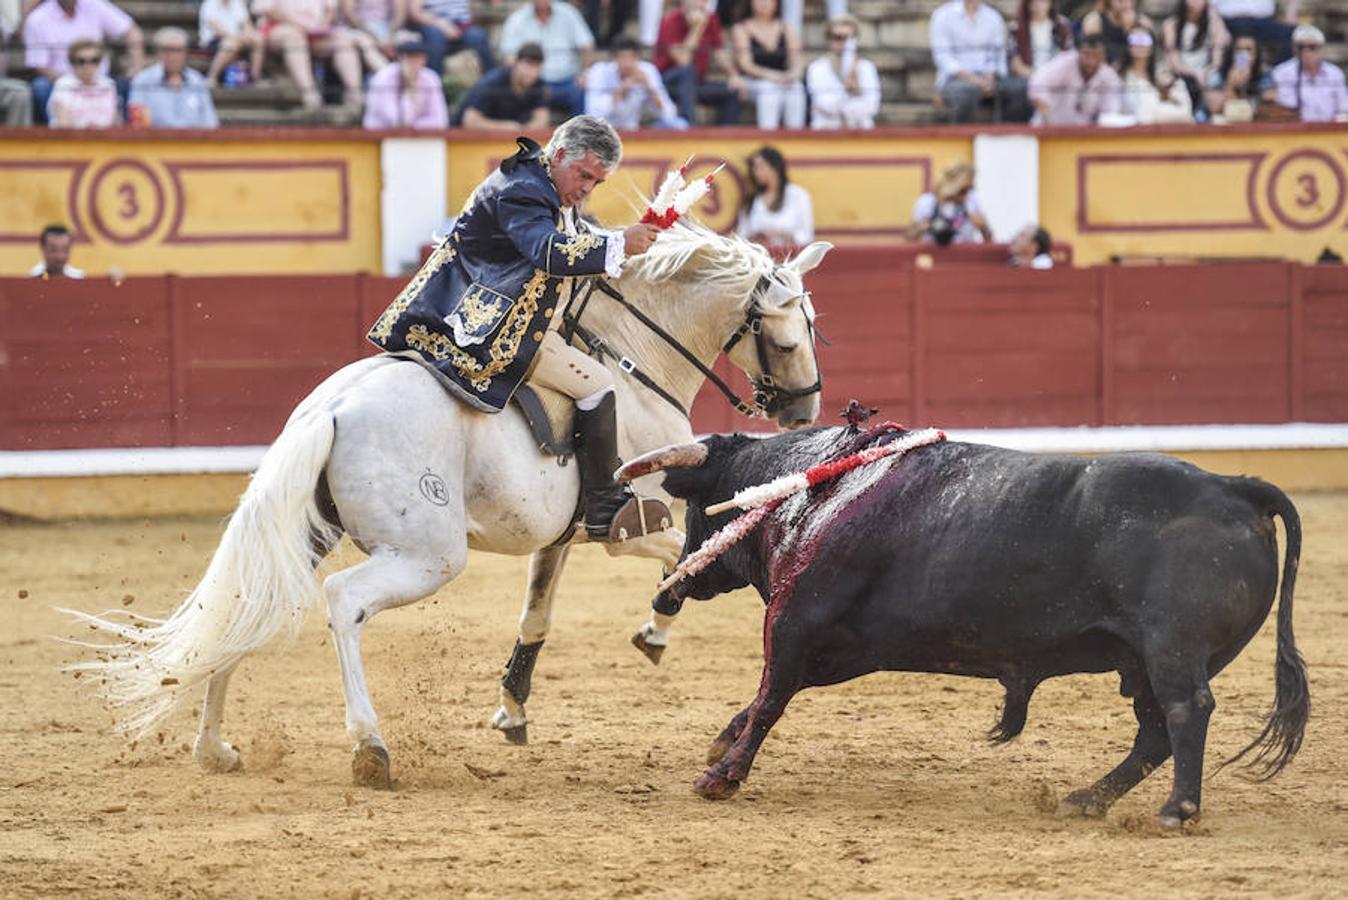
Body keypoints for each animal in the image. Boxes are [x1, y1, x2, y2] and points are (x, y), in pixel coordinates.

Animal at [63, 223, 830, 786]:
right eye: (788, 335)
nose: (804, 410)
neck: (635, 357)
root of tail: (331, 407)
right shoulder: (638, 525)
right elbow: (685, 561)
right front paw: (654, 632)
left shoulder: (559, 538)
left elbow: (536, 614)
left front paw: (512, 710)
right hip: (429, 555)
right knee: (342, 602)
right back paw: (369, 746)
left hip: (309, 536)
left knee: (248, 605)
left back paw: (214, 747)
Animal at [617, 425, 1304, 824]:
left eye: (693, 504)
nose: (672, 585)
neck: (816, 487)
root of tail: (1235, 488)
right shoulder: (838, 648)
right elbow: (766, 695)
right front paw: (721, 743)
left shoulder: (795, 620)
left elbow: (770, 697)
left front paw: (720, 775)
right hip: (1138, 661)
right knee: (1155, 731)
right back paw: (1085, 800)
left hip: (1170, 650)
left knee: (1187, 711)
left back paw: (1175, 811)